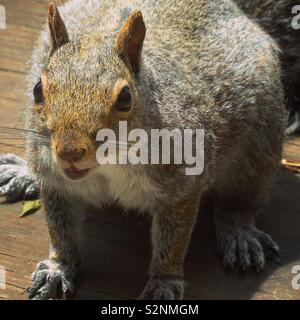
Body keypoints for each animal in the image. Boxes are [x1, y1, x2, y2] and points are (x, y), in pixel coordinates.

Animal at [0, 0, 290, 300]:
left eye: (125, 97)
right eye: (37, 90)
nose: (69, 152)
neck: (109, 164)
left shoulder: (183, 183)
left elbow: (174, 240)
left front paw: (164, 283)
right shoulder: (55, 178)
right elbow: (60, 231)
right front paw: (58, 268)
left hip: (259, 146)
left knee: (241, 200)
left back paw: (240, 233)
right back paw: (22, 173)